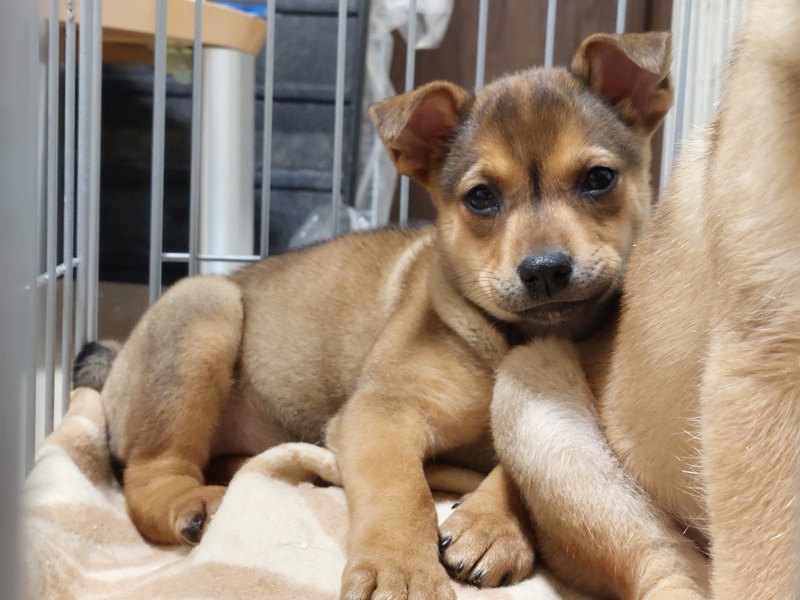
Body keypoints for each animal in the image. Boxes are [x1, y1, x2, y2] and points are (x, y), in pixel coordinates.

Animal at [74, 31, 672, 600]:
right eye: (480, 198)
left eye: (599, 179)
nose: (545, 270)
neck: (510, 339)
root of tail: (119, 361)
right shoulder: (383, 412)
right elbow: (400, 493)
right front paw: (400, 572)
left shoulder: (549, 415)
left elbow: (522, 466)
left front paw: (490, 526)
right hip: (202, 311)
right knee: (149, 476)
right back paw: (191, 502)